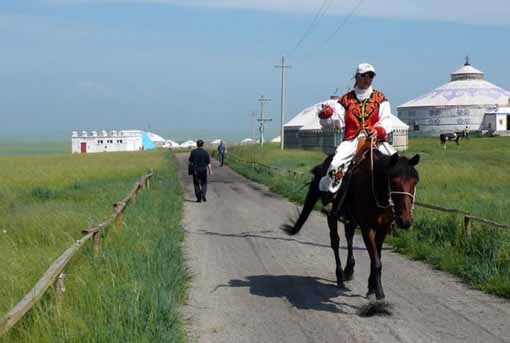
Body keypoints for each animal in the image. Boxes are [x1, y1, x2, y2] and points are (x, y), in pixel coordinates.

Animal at [280, 144, 420, 302]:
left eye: (415, 181)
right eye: (394, 181)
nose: (405, 221)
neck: (375, 190)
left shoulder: (383, 228)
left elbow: (376, 256)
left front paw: (371, 287)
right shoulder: (367, 228)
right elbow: (376, 261)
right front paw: (379, 292)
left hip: (351, 219)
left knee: (349, 237)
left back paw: (349, 269)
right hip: (332, 216)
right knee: (335, 242)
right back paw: (340, 276)